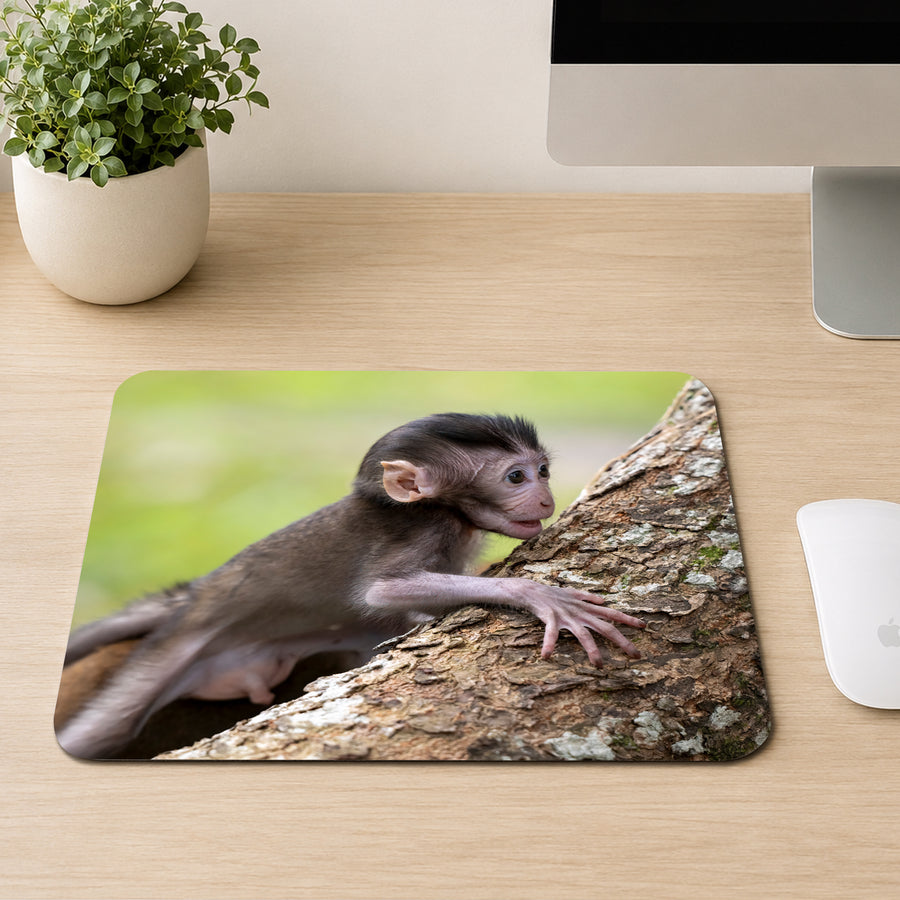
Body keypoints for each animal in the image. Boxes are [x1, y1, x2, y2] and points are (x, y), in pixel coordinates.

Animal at [57, 413, 645, 759]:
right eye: (515, 477)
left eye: (542, 470)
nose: (544, 498)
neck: (440, 511)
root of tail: (199, 591)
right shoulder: (426, 527)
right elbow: (380, 594)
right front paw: (542, 597)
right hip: (175, 645)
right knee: (103, 730)